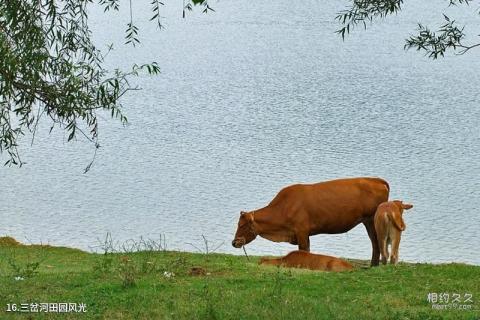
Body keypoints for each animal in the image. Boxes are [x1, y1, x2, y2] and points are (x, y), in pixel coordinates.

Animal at [232, 176, 390, 266]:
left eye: (242, 225)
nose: (234, 242)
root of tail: (376, 179)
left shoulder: (301, 231)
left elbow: (303, 250)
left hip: (371, 219)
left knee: (376, 240)